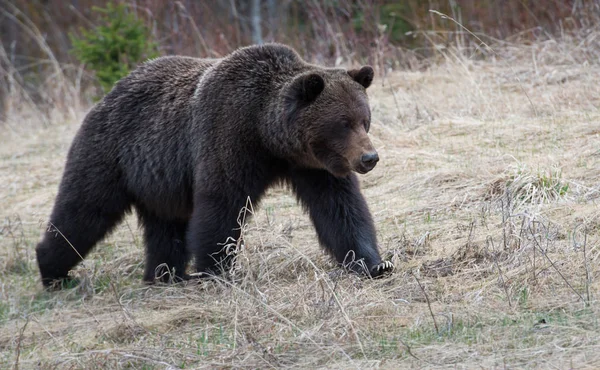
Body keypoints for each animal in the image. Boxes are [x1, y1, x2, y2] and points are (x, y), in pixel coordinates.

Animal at [36, 42, 394, 286]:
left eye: (364, 120)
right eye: (342, 123)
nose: (369, 158)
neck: (267, 135)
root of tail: (106, 96)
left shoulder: (313, 166)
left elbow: (341, 209)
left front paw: (374, 263)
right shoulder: (228, 133)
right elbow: (221, 202)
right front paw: (216, 268)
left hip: (158, 179)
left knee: (164, 226)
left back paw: (164, 274)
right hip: (108, 154)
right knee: (84, 210)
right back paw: (54, 271)